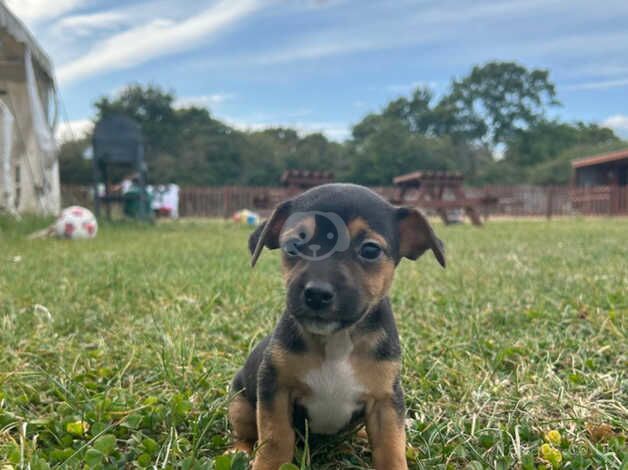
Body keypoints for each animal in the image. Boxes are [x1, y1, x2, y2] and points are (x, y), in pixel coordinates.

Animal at [228, 184, 444, 470]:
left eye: (370, 250)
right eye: (293, 246)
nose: (317, 294)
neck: (337, 339)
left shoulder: (385, 402)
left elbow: (390, 447)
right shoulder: (275, 390)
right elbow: (276, 439)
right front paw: (267, 465)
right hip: (240, 403)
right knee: (247, 433)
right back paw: (239, 451)